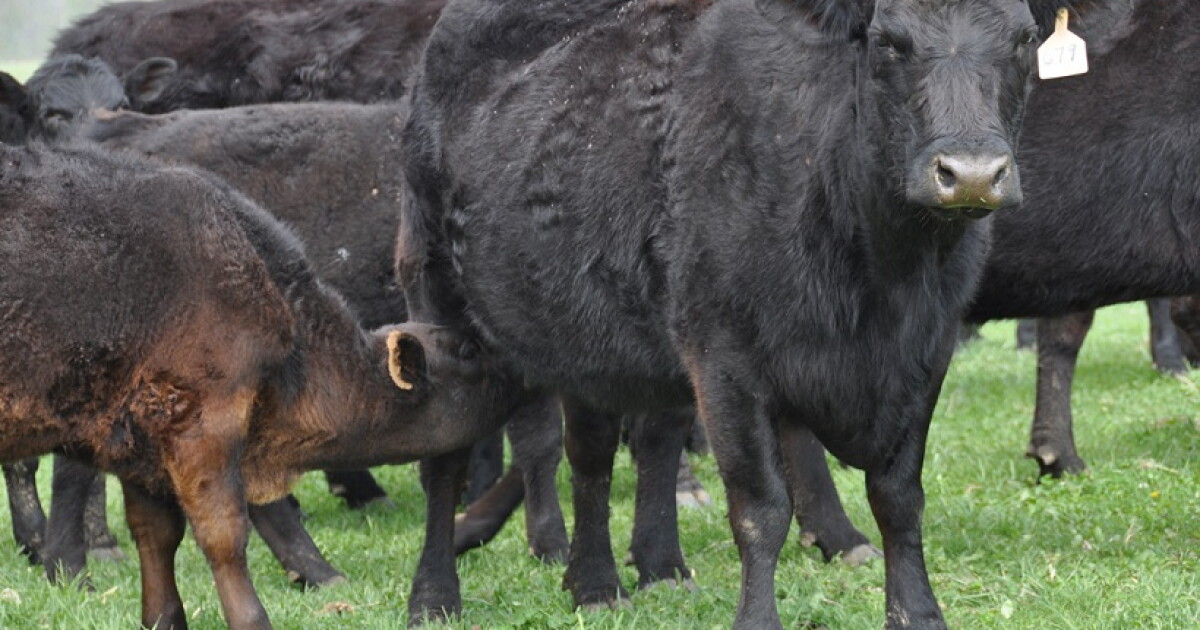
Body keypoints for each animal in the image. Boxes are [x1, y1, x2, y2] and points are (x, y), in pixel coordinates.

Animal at [0, 142, 516, 630]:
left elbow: (156, 531)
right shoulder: (203, 416)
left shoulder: (141, 431)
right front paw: (253, 618)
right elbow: (224, 534)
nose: (516, 364)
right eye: (468, 351)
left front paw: (163, 618)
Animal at [398, 1, 1046, 628]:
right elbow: (762, 508)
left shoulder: (927, 352)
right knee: (446, 462)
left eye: (1025, 38)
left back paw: (617, 580)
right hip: (438, 308)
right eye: (888, 40)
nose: (971, 174)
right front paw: (757, 618)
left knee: (607, 447)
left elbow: (900, 496)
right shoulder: (728, 360)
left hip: (590, 330)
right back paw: (434, 598)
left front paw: (918, 612)